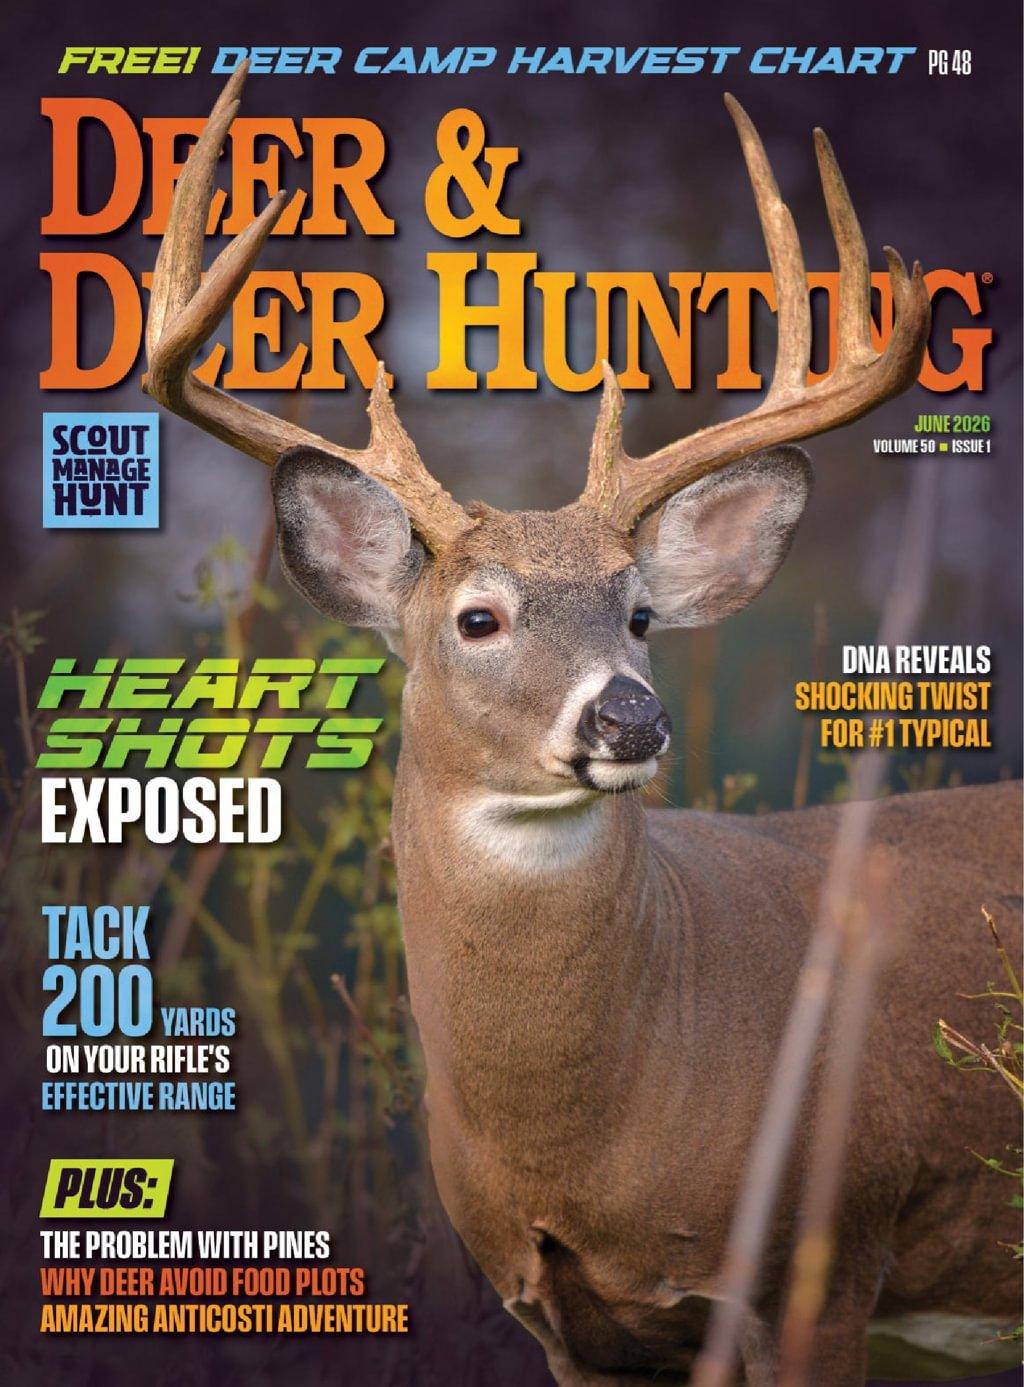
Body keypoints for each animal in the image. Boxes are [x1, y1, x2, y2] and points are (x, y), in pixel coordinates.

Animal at [143, 64, 1022, 1385]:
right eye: (478, 617)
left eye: (641, 613)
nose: (631, 713)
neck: (588, 1149)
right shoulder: (564, 1322)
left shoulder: (822, 1255)